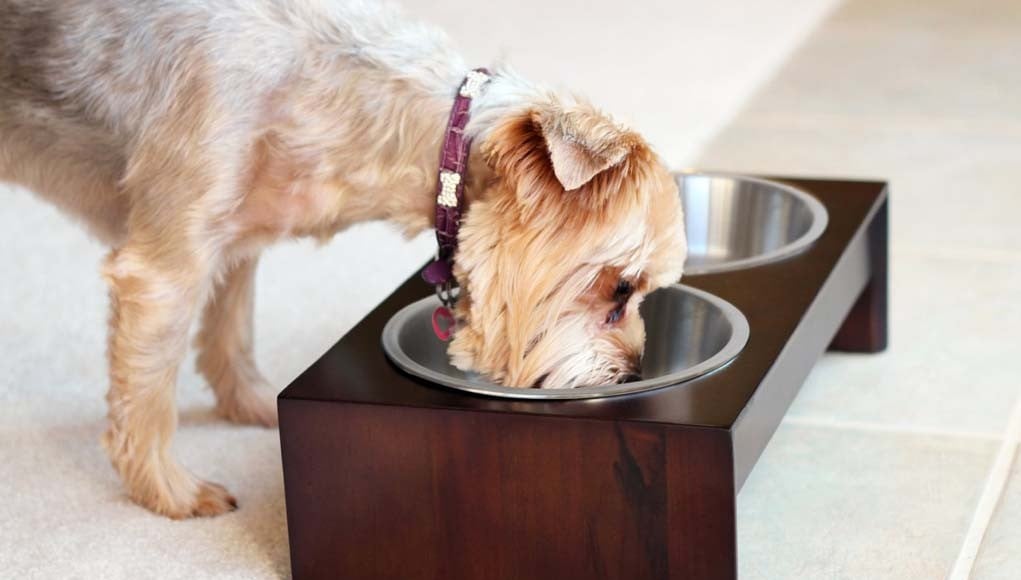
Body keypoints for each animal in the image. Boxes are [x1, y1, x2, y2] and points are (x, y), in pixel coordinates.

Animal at [1, 0, 686, 516]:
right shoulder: (166, 267)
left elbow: (229, 330)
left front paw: (252, 405)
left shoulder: (235, 239)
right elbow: (146, 396)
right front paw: (170, 493)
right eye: (621, 290)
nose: (634, 374)